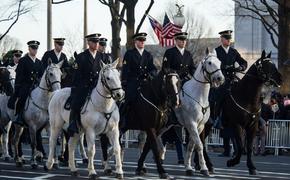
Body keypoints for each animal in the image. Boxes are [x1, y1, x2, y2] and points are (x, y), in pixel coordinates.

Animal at [159, 48, 224, 176]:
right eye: (209, 63)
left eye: (219, 62)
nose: (220, 78)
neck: (198, 95)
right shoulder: (191, 124)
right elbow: (199, 145)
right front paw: (204, 168)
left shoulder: (200, 126)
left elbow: (191, 145)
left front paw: (189, 167)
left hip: (167, 126)